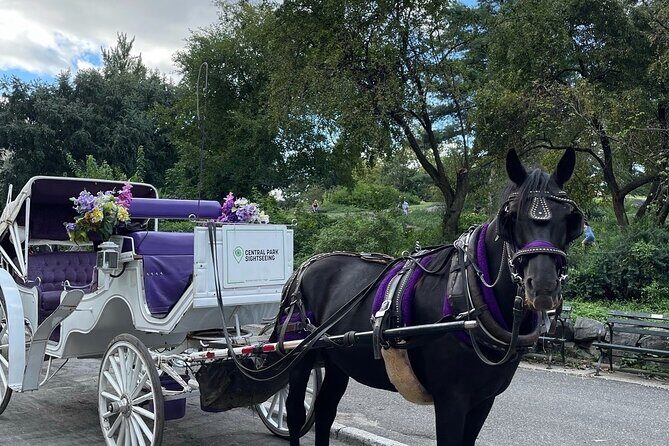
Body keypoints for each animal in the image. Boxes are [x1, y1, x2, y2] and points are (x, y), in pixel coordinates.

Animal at [282, 149, 584, 446]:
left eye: (569, 219)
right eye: (511, 218)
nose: (543, 287)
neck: (468, 295)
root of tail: (306, 265)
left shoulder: (484, 400)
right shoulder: (451, 399)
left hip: (337, 361)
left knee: (325, 411)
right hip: (299, 357)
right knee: (295, 412)